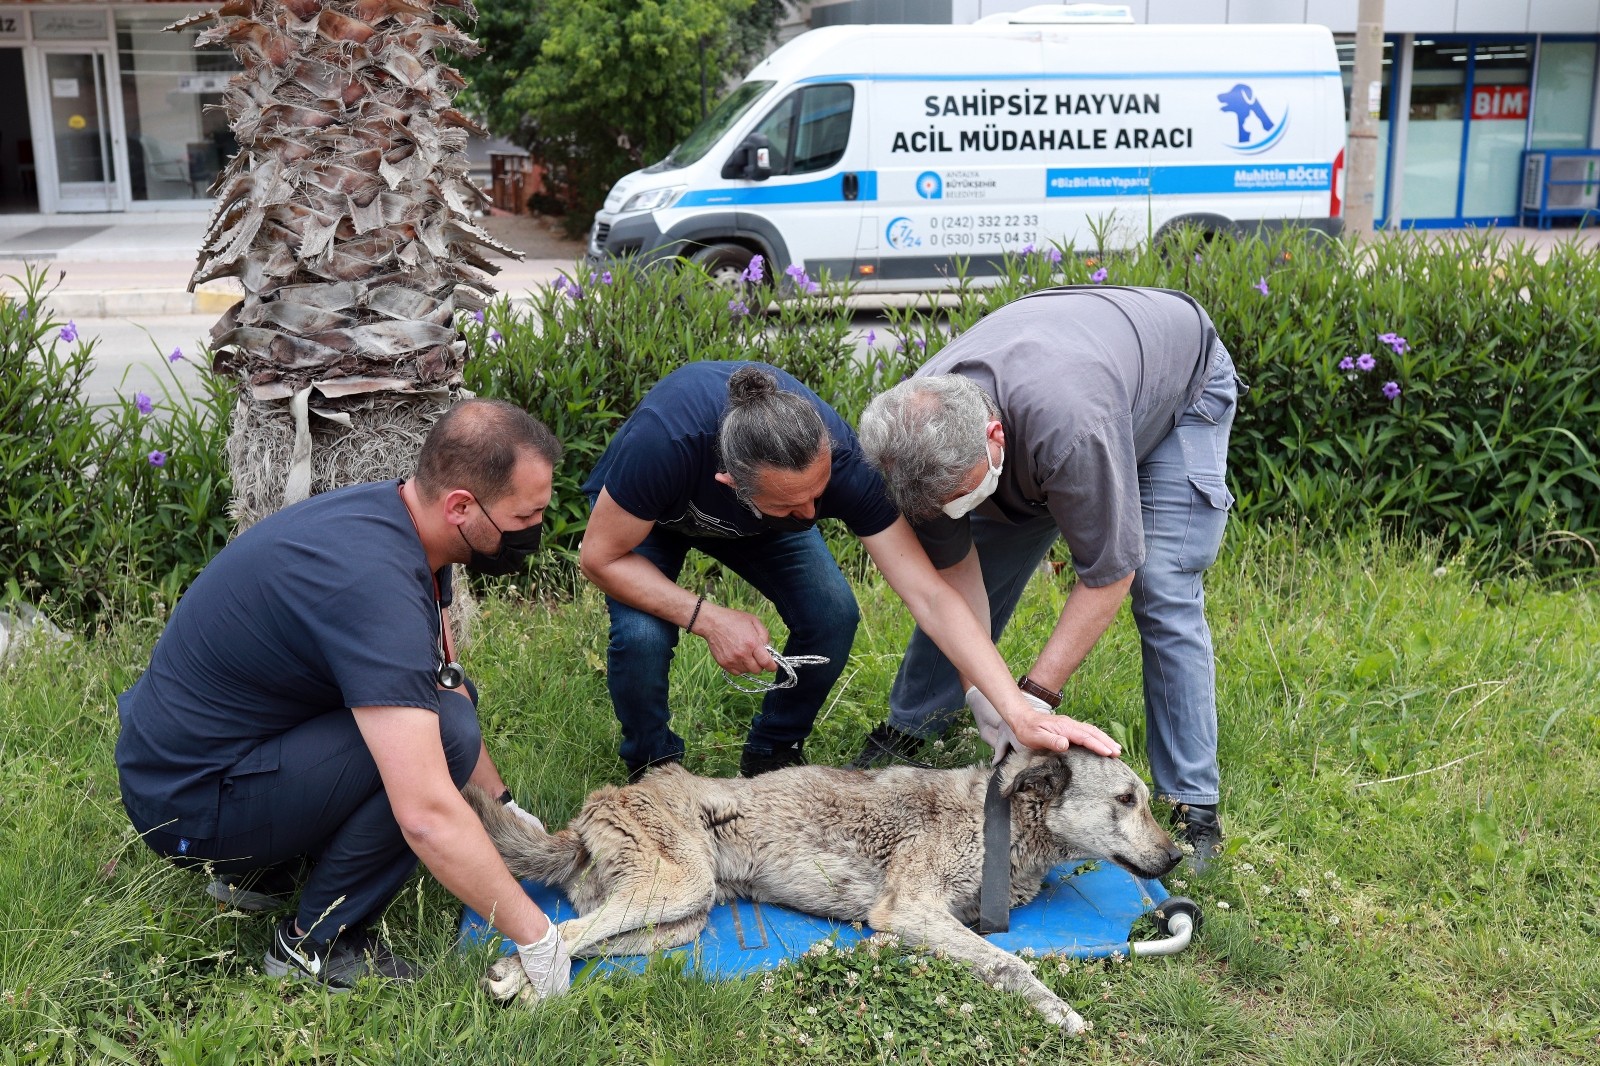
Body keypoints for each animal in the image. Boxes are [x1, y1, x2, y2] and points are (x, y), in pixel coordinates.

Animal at [467, 745, 1184, 1030]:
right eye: (1127, 799)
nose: (1178, 856)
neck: (1006, 823)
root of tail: (601, 801)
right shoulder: (909, 908)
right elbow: (1011, 965)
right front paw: (1060, 1012)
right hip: (678, 888)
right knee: (564, 930)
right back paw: (525, 984)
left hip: (677, 917)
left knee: (578, 935)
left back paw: (518, 980)